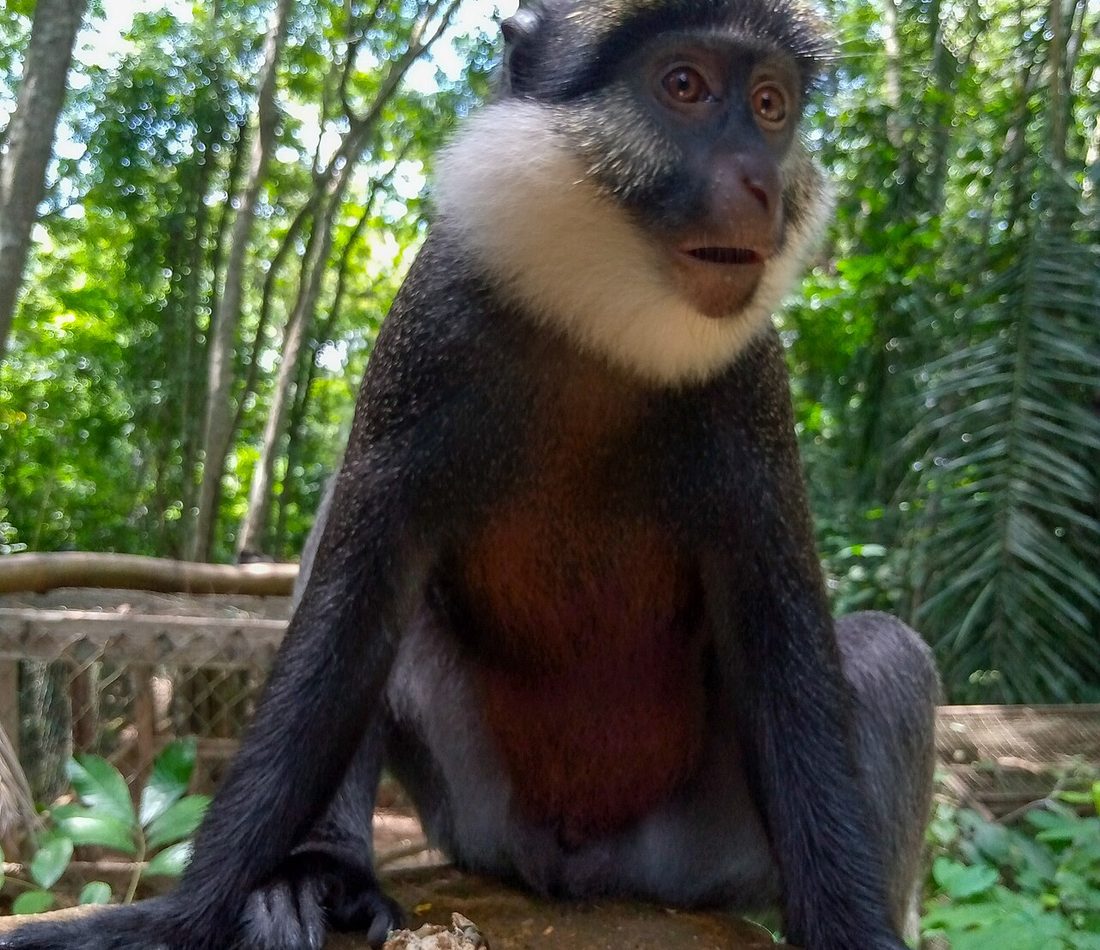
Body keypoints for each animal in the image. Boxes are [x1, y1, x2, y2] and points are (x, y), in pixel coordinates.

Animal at [0, 0, 938, 947]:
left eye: (772, 106)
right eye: (685, 85)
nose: (763, 187)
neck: (600, 325)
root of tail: (578, 870)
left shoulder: (755, 393)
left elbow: (783, 649)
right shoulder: (428, 329)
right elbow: (351, 606)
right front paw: (183, 916)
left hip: (698, 856)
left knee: (890, 653)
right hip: (476, 813)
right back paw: (323, 870)